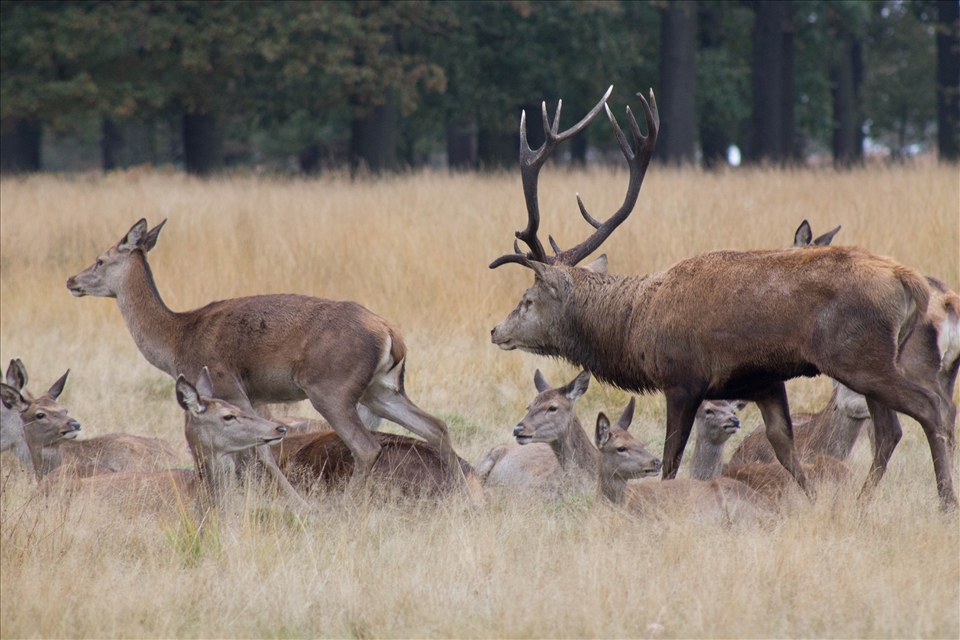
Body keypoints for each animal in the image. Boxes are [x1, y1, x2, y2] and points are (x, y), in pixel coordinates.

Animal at [66, 218, 470, 506]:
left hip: (331, 387)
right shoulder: (255, 395)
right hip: (381, 389)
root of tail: (391, 334)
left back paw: (351, 505)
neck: (175, 342)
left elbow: (260, 449)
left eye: (100, 259)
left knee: (368, 446)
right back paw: (464, 498)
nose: (72, 279)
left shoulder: (227, 384)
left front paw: (290, 502)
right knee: (436, 426)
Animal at [488, 86, 956, 510]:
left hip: (860, 356)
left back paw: (945, 500)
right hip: (868, 362)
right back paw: (864, 501)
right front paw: (810, 503)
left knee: (931, 408)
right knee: (892, 429)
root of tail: (907, 279)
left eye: (527, 298)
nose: (496, 330)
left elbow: (671, 459)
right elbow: (787, 452)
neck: (636, 327)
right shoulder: (764, 380)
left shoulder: (683, 377)